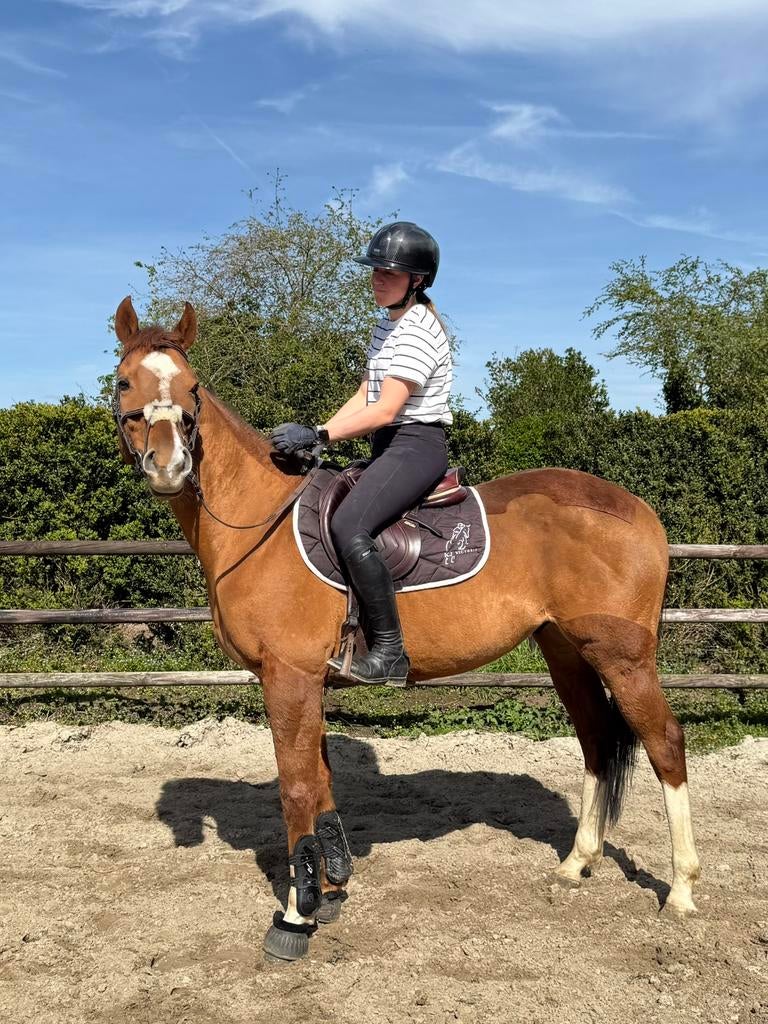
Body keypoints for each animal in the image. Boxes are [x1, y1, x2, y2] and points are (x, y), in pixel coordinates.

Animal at [112, 296, 700, 961]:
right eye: (125, 381)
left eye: (192, 388)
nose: (169, 464)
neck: (258, 518)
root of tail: (639, 509)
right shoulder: (309, 682)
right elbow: (322, 783)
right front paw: (331, 889)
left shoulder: (288, 678)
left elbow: (296, 790)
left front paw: (296, 914)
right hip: (566, 651)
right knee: (598, 742)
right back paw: (577, 863)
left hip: (622, 655)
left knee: (665, 744)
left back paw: (682, 890)